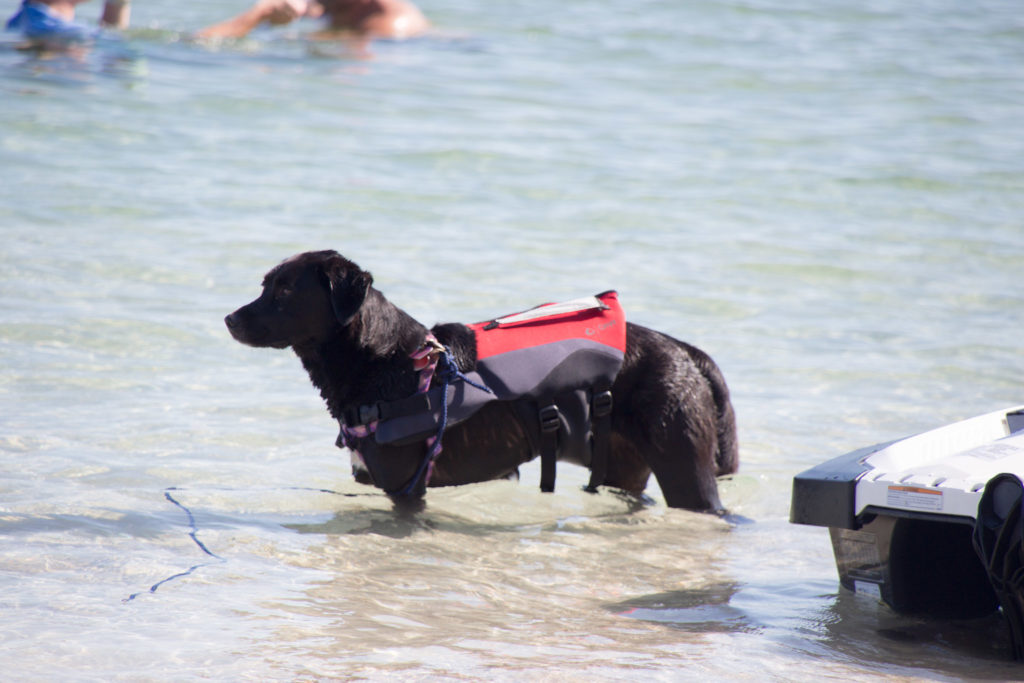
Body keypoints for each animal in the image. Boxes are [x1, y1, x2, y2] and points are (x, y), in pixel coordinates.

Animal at [226, 250, 737, 511]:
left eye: (284, 290)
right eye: (264, 284)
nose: (229, 319)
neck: (388, 362)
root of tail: (684, 350)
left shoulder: (407, 489)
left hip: (685, 469)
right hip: (623, 466)